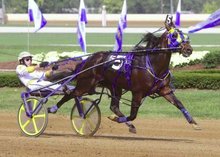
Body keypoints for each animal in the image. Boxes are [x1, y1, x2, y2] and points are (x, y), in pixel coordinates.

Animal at [55, 16, 200, 132]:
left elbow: (179, 104)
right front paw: (116, 119)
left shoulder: (164, 89)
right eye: (174, 35)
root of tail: (86, 61)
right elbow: (133, 114)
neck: (153, 64)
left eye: (186, 36)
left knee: (113, 106)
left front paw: (194, 123)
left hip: (114, 86)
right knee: (70, 94)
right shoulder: (137, 92)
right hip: (85, 84)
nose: (188, 49)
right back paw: (53, 109)